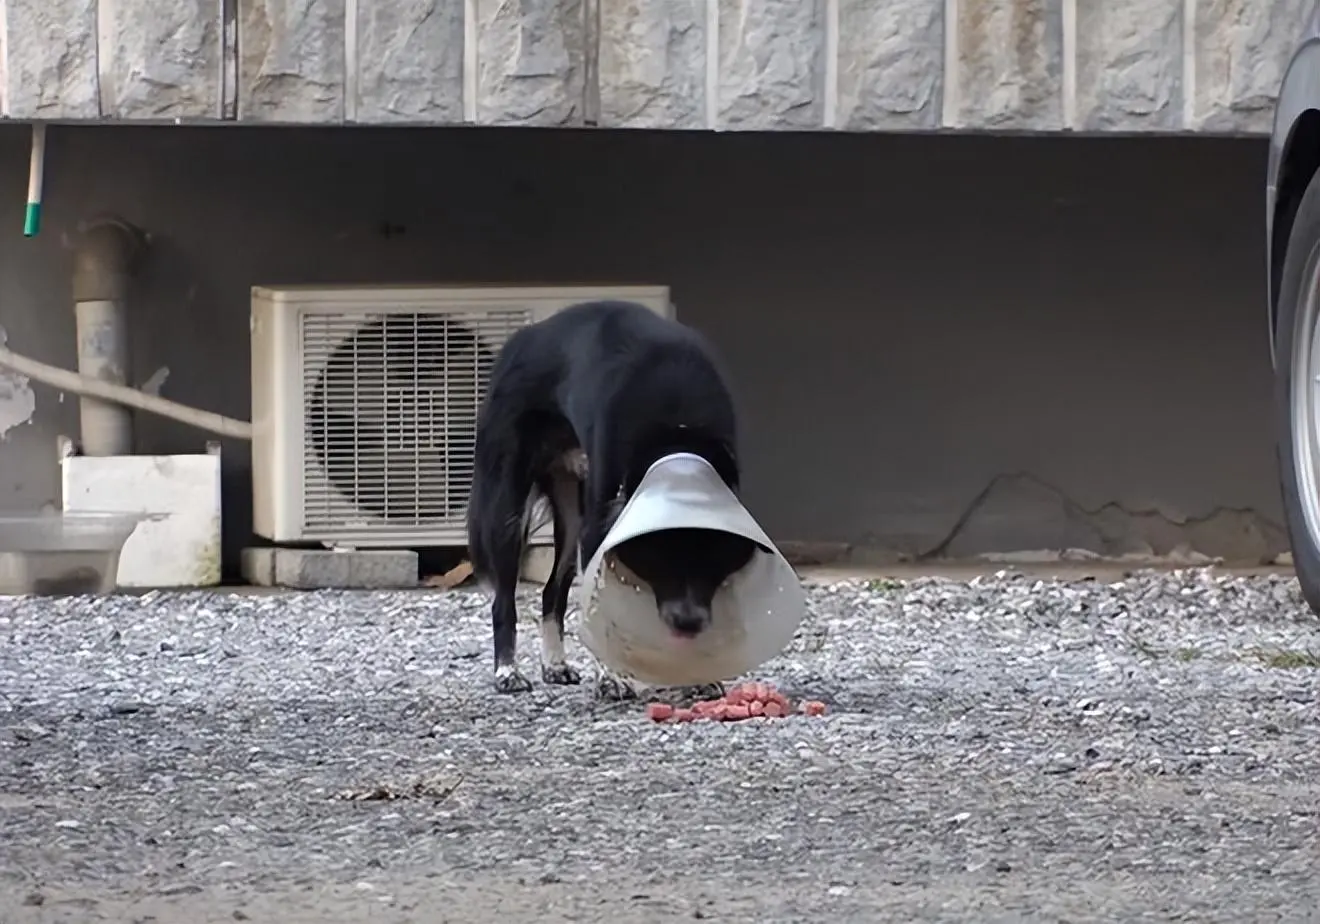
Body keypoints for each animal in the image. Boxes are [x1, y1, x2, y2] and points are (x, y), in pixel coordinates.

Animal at [464, 300, 760, 691]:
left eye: (712, 562)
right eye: (660, 561)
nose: (688, 622)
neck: (677, 436)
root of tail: (522, 338)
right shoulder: (598, 532)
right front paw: (613, 676)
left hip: (571, 509)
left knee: (552, 592)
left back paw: (555, 664)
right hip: (508, 508)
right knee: (504, 601)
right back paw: (508, 672)